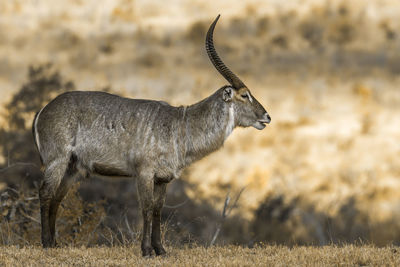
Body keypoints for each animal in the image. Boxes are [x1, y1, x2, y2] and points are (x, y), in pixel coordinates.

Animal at [32, 15, 272, 258]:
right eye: (245, 95)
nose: (267, 116)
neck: (181, 124)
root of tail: (44, 110)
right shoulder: (145, 173)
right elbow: (146, 209)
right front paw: (147, 250)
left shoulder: (163, 178)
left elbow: (158, 210)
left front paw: (160, 249)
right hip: (57, 160)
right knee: (45, 192)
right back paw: (45, 242)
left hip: (72, 167)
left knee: (57, 196)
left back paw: (55, 243)